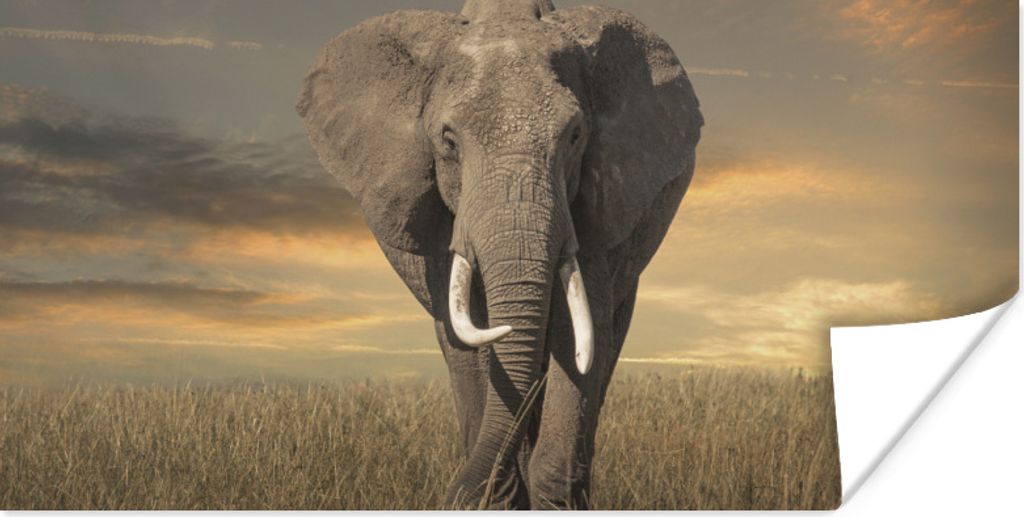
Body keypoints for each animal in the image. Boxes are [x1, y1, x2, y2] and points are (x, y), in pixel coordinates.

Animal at [297, 0, 701, 509]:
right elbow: (468, 336)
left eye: (575, 136)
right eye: (449, 141)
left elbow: (577, 333)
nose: (452, 497)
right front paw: (497, 498)